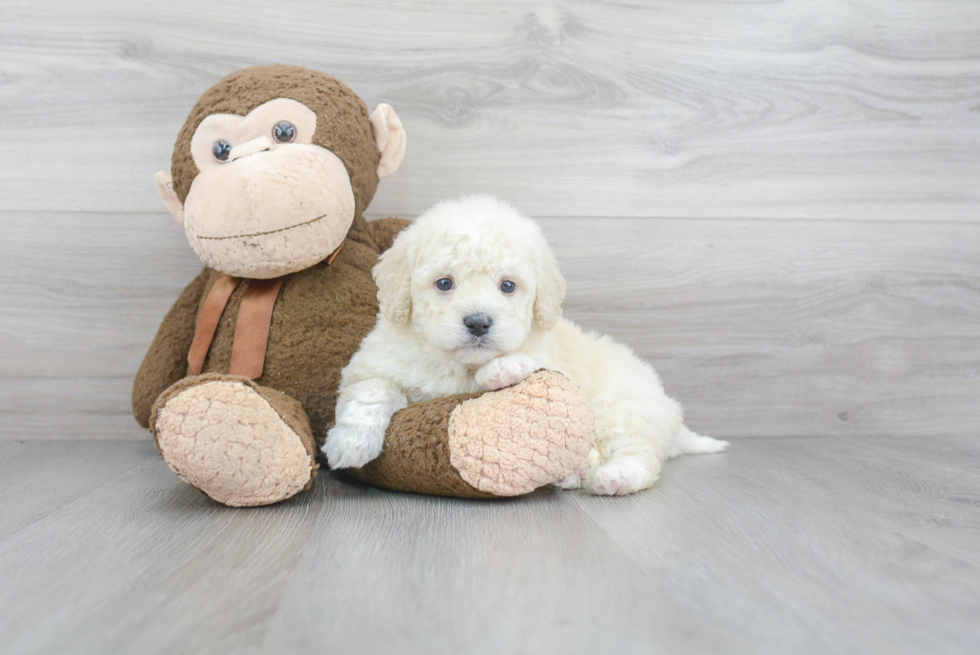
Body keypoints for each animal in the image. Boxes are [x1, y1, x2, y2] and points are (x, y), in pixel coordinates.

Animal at [324, 195, 728, 498]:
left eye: (507, 285)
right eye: (444, 283)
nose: (478, 322)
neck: (457, 362)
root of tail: (669, 411)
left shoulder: (553, 360)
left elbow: (525, 363)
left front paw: (504, 368)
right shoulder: (373, 366)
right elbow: (370, 392)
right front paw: (350, 443)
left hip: (624, 408)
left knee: (639, 453)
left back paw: (613, 477)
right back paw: (573, 473)